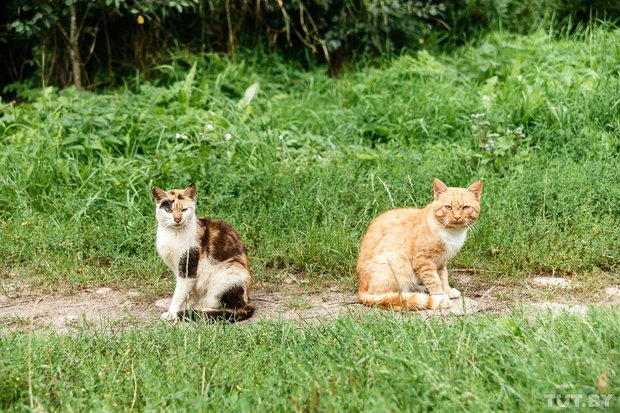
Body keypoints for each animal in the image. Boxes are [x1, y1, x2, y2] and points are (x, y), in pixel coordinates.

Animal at [151, 183, 256, 322]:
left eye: (184, 210)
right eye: (169, 210)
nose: (177, 219)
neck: (173, 234)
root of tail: (248, 299)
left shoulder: (188, 265)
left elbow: (179, 293)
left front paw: (172, 313)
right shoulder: (177, 268)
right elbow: (183, 291)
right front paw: (181, 307)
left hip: (228, 275)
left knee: (229, 307)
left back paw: (199, 311)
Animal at [356, 177, 482, 308]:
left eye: (465, 207)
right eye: (448, 207)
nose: (457, 217)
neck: (453, 233)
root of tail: (361, 289)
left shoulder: (441, 261)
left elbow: (443, 278)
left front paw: (447, 290)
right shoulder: (424, 260)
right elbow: (434, 280)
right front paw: (440, 297)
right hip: (397, 259)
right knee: (390, 295)